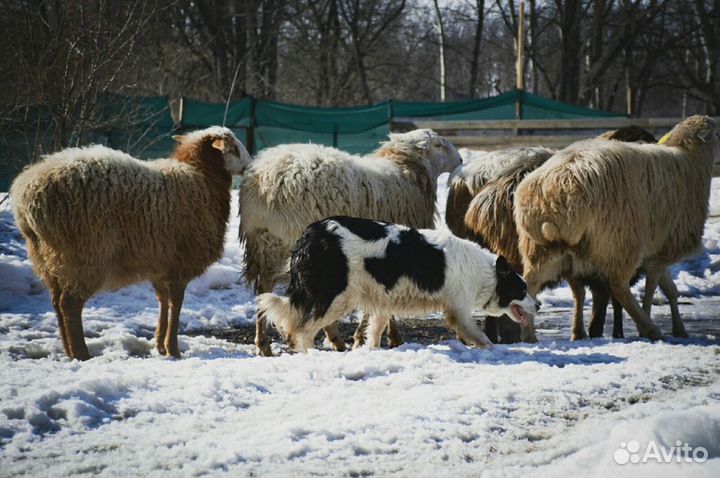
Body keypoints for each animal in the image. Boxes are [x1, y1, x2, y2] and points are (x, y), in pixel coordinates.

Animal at [9, 127, 253, 358]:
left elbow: (163, 303)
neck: (200, 176)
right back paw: (81, 354)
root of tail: (25, 201)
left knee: (56, 303)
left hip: (48, 260)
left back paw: (69, 351)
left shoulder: (161, 265)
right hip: (83, 255)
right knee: (69, 305)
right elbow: (176, 305)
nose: (249, 166)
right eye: (234, 149)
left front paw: (160, 346)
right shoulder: (180, 264)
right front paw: (173, 349)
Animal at [236, 130, 462, 354]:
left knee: (264, 291)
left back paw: (263, 344)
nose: (460, 159)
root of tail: (264, 180)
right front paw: (385, 336)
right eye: (438, 145)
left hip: (265, 246)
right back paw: (333, 338)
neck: (405, 169)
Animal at [516, 115, 716, 340]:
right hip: (619, 241)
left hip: (544, 249)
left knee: (531, 282)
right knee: (618, 287)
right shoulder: (663, 247)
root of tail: (553, 190)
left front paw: (678, 329)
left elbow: (668, 288)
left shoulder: (654, 249)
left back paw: (529, 335)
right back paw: (649, 328)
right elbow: (654, 287)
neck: (690, 159)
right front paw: (665, 326)